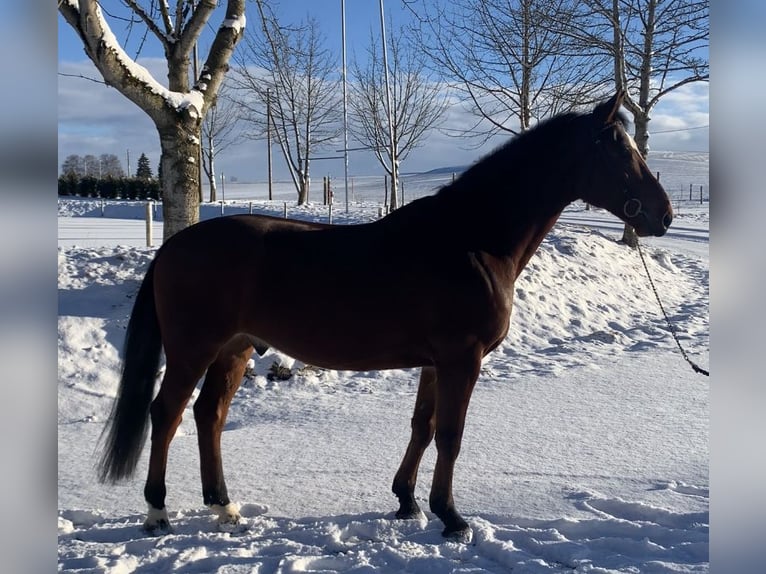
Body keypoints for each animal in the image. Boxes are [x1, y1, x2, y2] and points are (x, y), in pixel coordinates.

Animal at [96, 90, 672, 541]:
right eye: (620, 150)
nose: (663, 214)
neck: (471, 240)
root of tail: (174, 247)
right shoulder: (462, 360)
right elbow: (451, 434)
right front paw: (451, 517)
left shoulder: (436, 363)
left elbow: (423, 426)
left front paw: (407, 501)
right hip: (193, 350)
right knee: (166, 414)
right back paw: (157, 511)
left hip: (233, 351)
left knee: (208, 415)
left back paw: (223, 506)